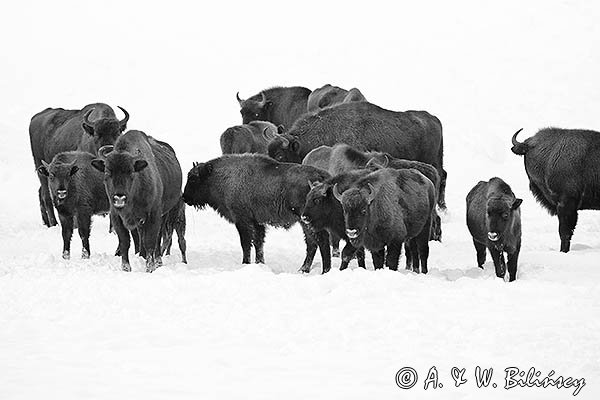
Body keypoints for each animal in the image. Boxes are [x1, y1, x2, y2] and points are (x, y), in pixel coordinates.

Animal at [90, 131, 182, 272]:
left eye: (131, 172)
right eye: (107, 172)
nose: (119, 198)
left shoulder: (153, 215)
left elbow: (150, 241)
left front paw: (150, 267)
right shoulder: (117, 217)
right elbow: (125, 242)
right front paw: (126, 267)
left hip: (165, 214)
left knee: (158, 238)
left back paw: (158, 261)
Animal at [183, 155, 332, 274]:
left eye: (193, 179)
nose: (184, 197)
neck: (220, 176)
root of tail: (322, 176)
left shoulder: (242, 220)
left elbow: (246, 244)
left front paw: (245, 263)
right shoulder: (257, 222)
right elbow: (258, 243)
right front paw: (260, 263)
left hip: (307, 221)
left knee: (321, 242)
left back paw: (324, 271)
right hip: (304, 222)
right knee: (312, 244)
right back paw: (303, 270)